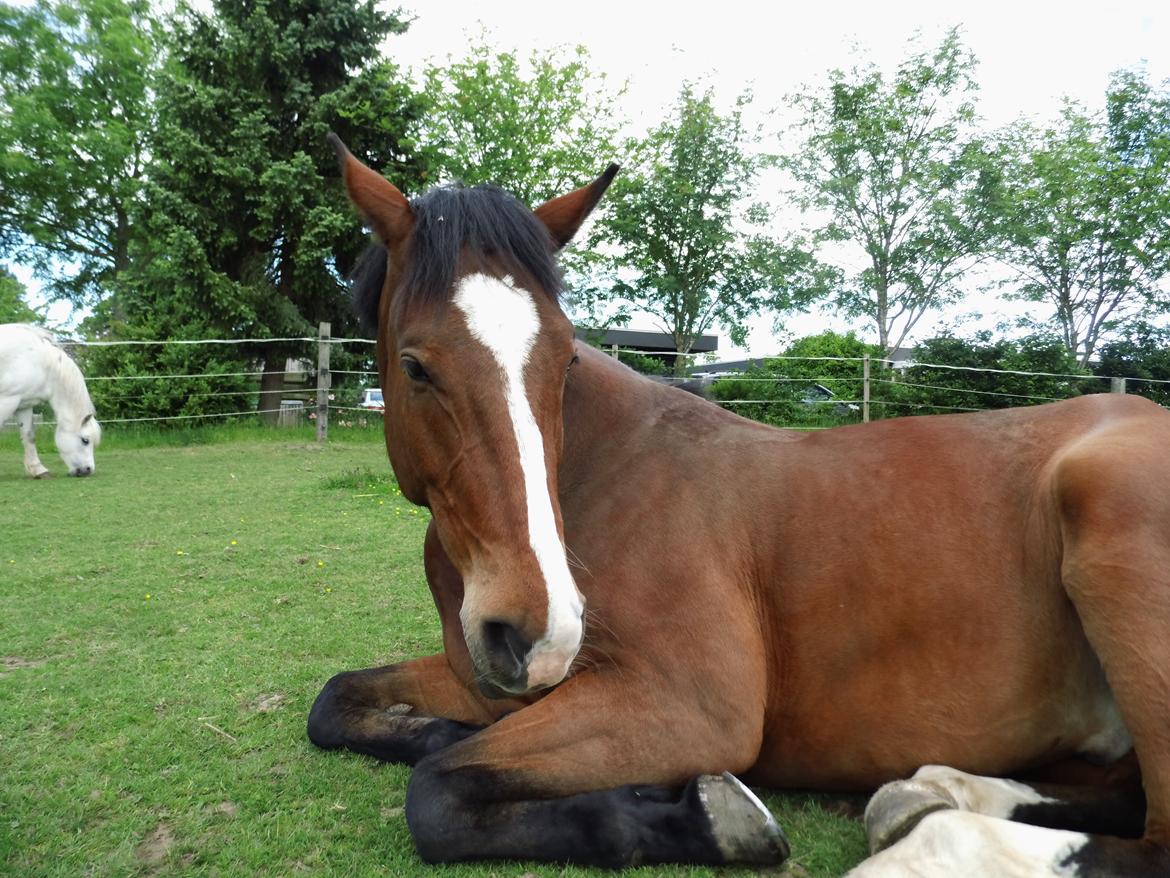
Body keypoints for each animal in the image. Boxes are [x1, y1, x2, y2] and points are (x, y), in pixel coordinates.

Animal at [0, 323, 101, 477]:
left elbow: (29, 435)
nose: (88, 470)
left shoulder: (23, 405)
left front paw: (38, 469)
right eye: (85, 440)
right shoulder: (7, 401)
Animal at [308, 134, 1170, 875]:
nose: (538, 631)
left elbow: (437, 793)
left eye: (563, 360)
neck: (602, 476)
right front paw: (433, 730)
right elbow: (342, 704)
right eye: (415, 366)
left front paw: (703, 818)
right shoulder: (486, 678)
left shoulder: (687, 709)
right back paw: (926, 791)